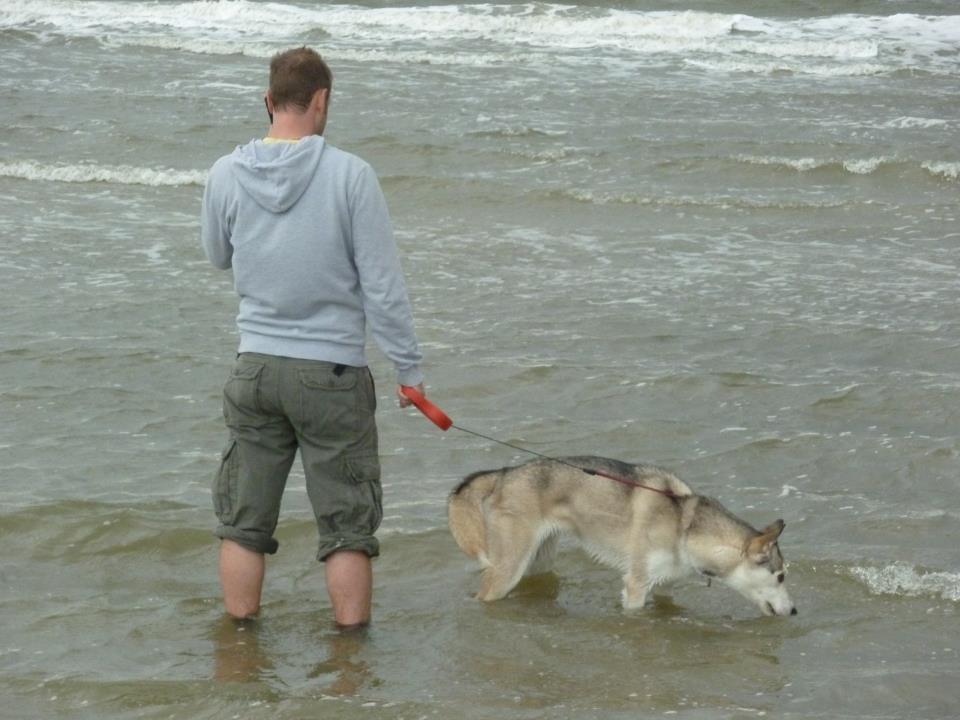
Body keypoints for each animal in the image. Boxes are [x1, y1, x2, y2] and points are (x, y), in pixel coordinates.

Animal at [448, 456, 797, 617]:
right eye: (780, 577)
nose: (794, 611)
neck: (684, 525)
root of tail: (504, 473)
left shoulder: (664, 584)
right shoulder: (636, 585)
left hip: (538, 561)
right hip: (508, 569)